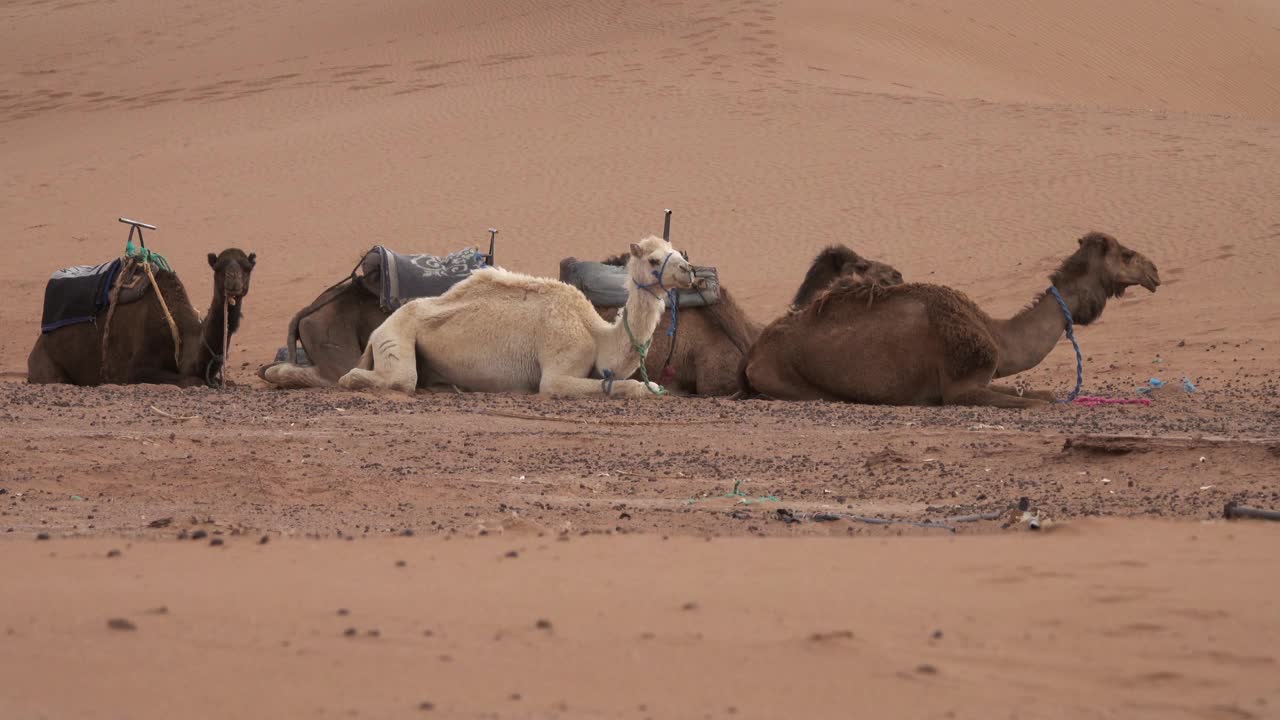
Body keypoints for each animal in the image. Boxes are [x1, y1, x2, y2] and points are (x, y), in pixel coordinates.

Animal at [28, 249, 256, 389]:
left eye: (247, 267)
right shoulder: (136, 369)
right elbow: (192, 380)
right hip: (45, 363)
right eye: (218, 268)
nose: (233, 281)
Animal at [340, 235, 696, 394]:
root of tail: (378, 331)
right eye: (653, 260)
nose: (689, 271)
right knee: (393, 378)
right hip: (396, 337)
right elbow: (634, 387)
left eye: (677, 252)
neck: (597, 335)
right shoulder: (556, 369)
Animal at [742, 233, 1162, 407]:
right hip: (788, 380)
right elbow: (1038, 405)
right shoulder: (960, 388)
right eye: (1127, 254)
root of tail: (754, 353)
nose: (1155, 271)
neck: (995, 331)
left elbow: (1041, 396)